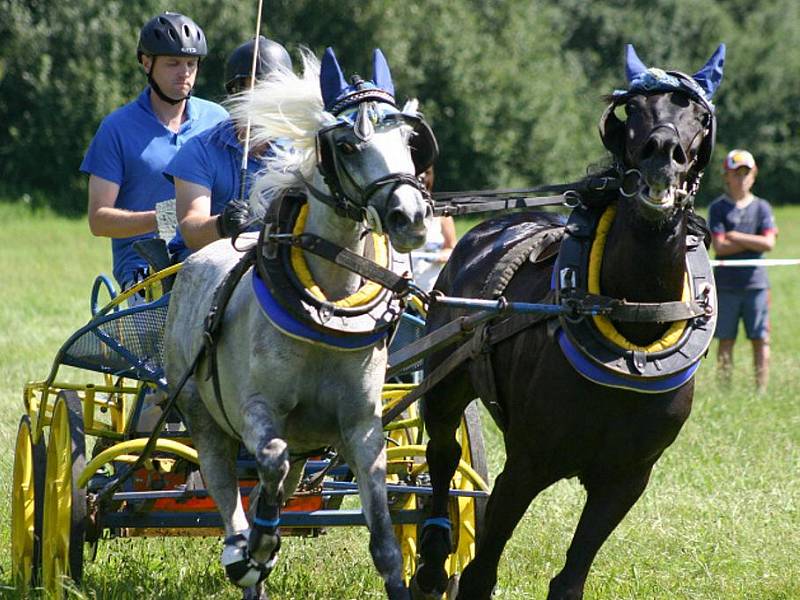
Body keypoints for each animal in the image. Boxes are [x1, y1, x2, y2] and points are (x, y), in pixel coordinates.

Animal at [412, 47, 724, 600]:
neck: (629, 322)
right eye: (633, 109)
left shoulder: (625, 480)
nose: (662, 151)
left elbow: (571, 578)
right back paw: (430, 558)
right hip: (446, 377)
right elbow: (481, 572)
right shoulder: (527, 465)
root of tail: (487, 228)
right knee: (443, 453)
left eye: (698, 115)